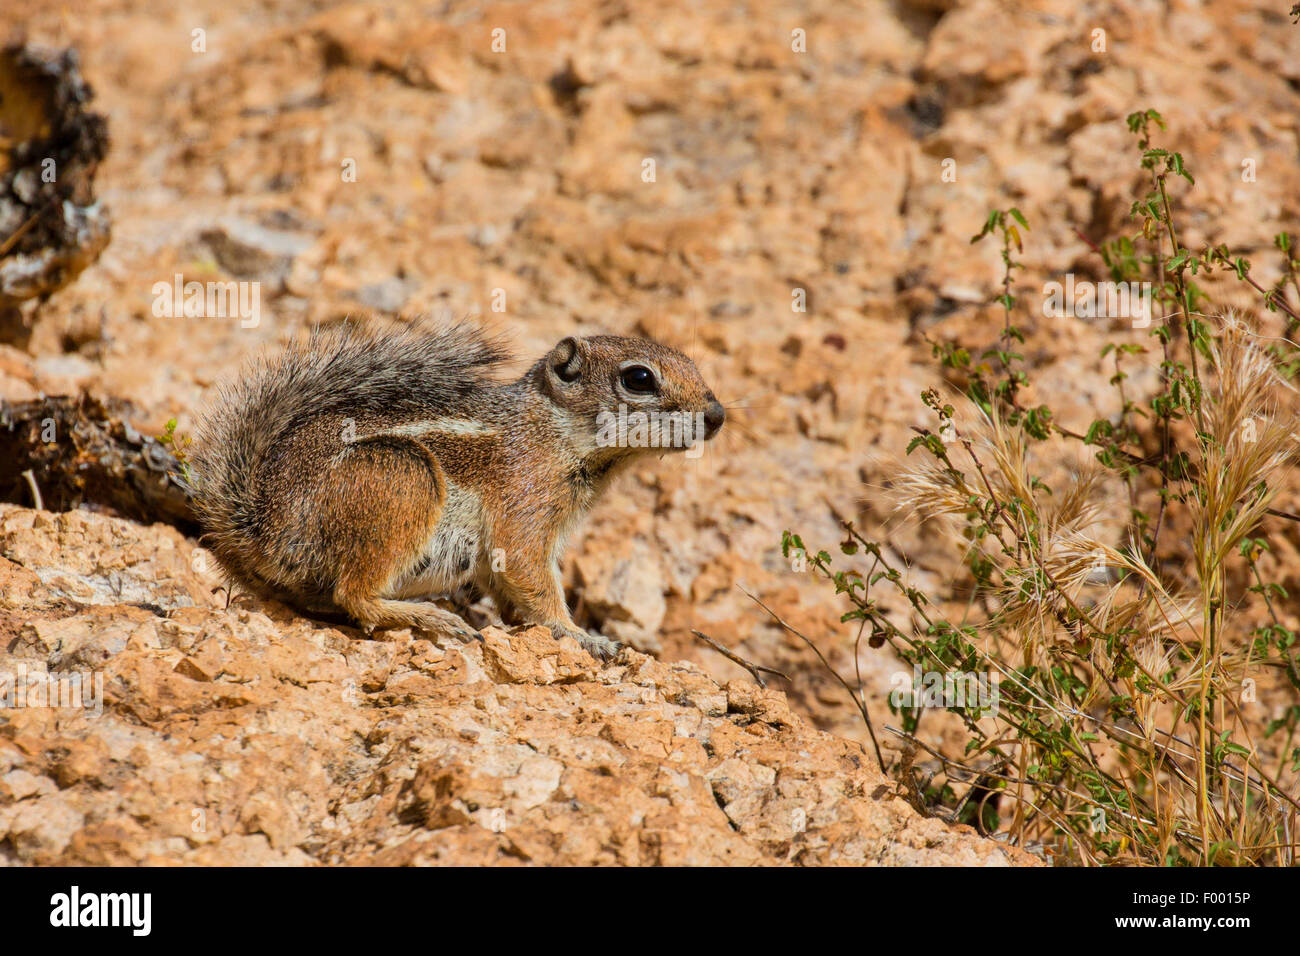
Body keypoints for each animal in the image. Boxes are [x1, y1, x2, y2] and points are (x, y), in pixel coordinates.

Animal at [188, 325, 728, 660]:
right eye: (638, 378)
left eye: (691, 363)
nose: (717, 415)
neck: (552, 430)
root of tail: (263, 524)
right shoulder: (524, 508)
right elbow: (533, 576)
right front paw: (583, 637)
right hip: (404, 476)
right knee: (355, 596)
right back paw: (434, 618)